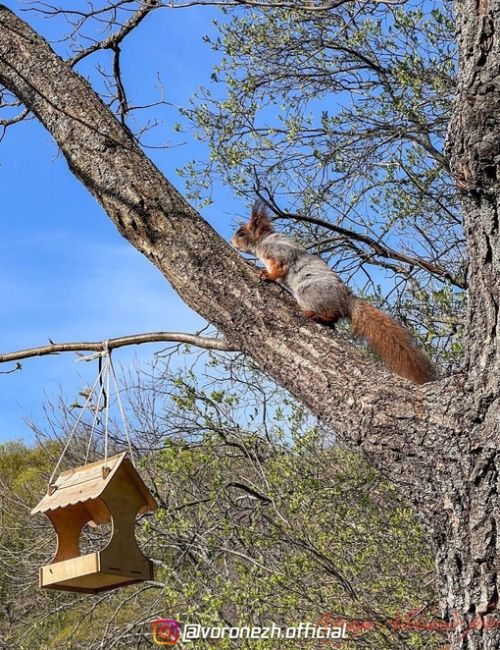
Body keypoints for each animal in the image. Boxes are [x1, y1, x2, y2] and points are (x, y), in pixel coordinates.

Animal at [232, 201, 436, 384]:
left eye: (242, 233)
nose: (232, 242)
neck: (263, 241)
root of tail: (346, 299)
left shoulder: (278, 253)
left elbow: (280, 268)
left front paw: (267, 274)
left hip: (307, 292)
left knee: (332, 314)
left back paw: (315, 316)